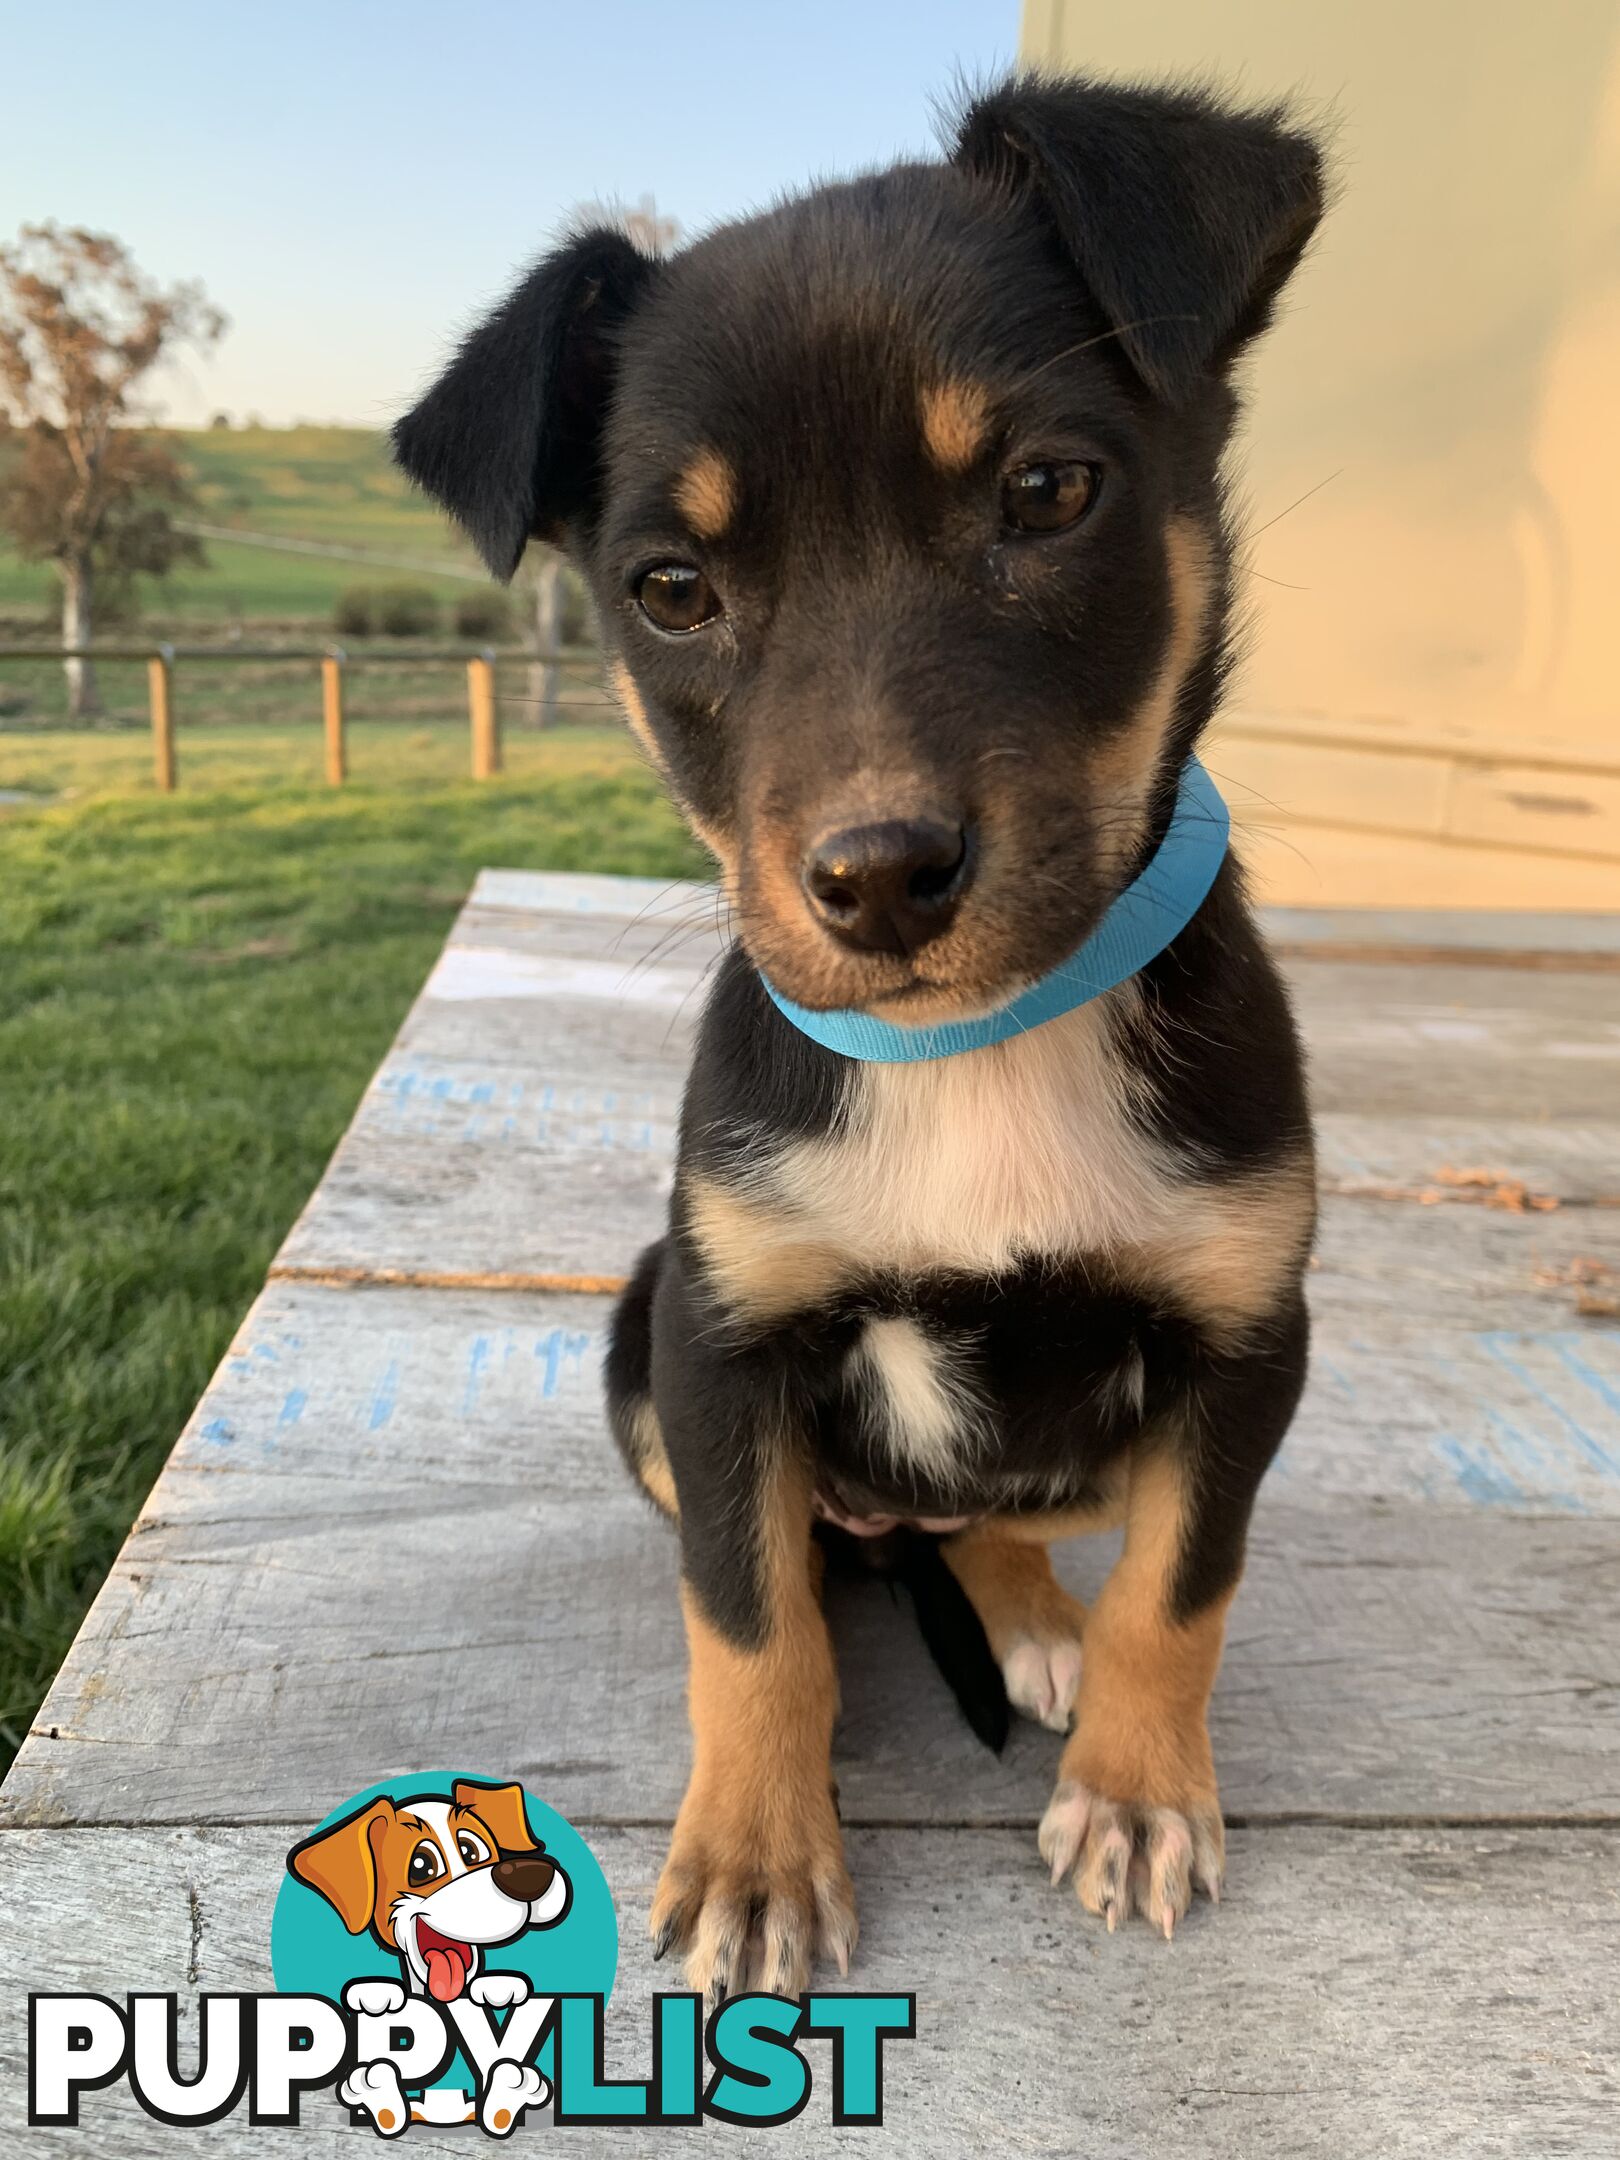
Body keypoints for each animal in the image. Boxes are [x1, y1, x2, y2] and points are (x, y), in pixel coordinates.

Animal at [397, 67, 1330, 1987]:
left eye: (1048, 490)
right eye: (672, 589)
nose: (880, 879)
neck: (982, 1046)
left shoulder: (1246, 1338)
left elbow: (1183, 1585)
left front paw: (1141, 1791)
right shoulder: (718, 1343)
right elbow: (752, 1625)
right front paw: (760, 1856)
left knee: (1006, 1524)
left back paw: (1033, 1617)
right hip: (634, 1337)